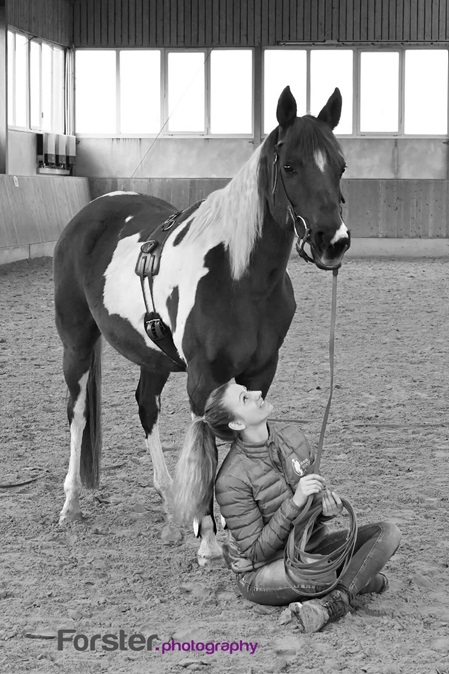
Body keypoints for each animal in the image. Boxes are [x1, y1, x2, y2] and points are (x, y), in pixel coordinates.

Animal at [51, 86, 346, 564]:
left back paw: (171, 496)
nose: (333, 242)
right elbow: (206, 439)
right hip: (76, 344)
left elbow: (236, 439)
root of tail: (89, 212)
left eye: (340, 165)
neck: (240, 277)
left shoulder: (259, 374)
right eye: (290, 166)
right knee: (76, 415)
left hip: (152, 355)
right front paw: (207, 538)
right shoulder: (203, 377)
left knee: (145, 405)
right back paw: (71, 504)